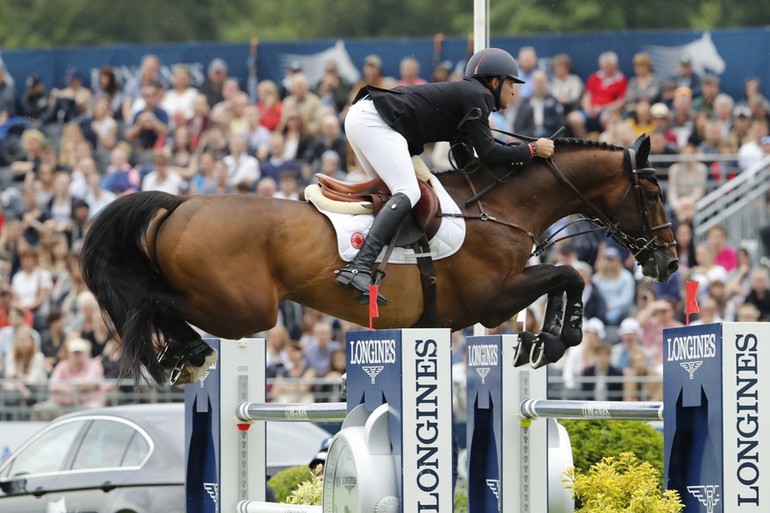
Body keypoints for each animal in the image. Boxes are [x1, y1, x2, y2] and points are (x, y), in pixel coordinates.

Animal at [81, 136, 676, 384]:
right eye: (651, 193)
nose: (668, 263)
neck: (500, 208)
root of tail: (179, 204)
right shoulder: (493, 297)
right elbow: (569, 274)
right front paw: (556, 338)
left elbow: (564, 277)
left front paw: (541, 341)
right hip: (243, 309)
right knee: (149, 303)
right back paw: (183, 354)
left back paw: (180, 356)